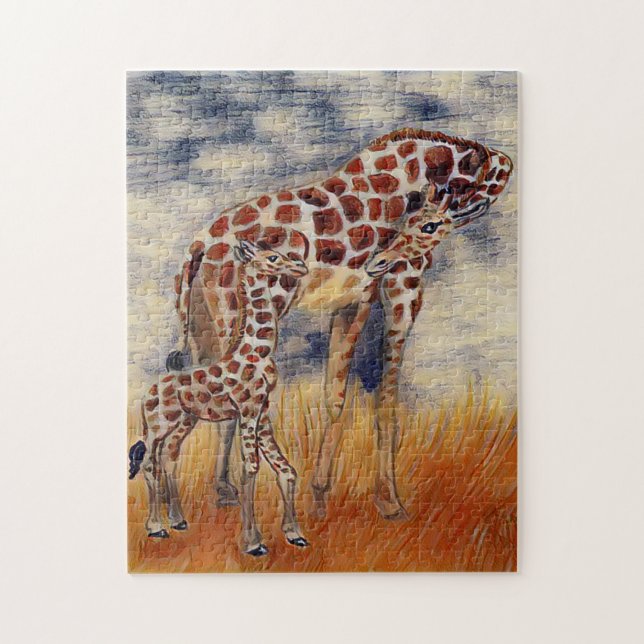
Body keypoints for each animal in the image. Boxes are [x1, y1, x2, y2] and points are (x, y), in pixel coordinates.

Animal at [129, 242, 309, 556]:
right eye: (273, 257)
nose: (301, 267)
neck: (257, 352)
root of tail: (149, 392)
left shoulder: (262, 411)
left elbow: (286, 469)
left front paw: (294, 534)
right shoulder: (248, 410)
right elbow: (250, 469)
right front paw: (254, 542)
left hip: (184, 421)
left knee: (169, 456)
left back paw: (178, 520)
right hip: (156, 426)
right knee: (149, 463)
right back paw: (156, 527)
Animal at [169, 128, 514, 519]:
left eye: (428, 224)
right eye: (417, 222)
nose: (379, 261)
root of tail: (197, 249)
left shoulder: (350, 302)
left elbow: (336, 396)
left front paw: (320, 494)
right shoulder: (396, 289)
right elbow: (381, 398)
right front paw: (388, 500)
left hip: (205, 320)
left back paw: (221, 491)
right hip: (238, 310)